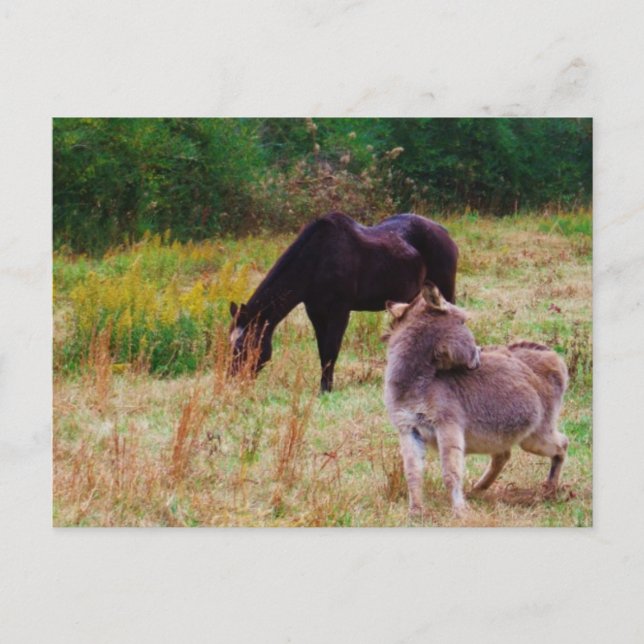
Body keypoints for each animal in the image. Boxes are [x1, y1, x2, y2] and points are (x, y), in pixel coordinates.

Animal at [228, 211, 459, 393]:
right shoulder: (316, 313)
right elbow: (323, 351)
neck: (317, 258)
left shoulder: (339, 312)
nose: (233, 381)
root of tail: (444, 232)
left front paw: (326, 389)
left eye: (244, 346)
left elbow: (331, 349)